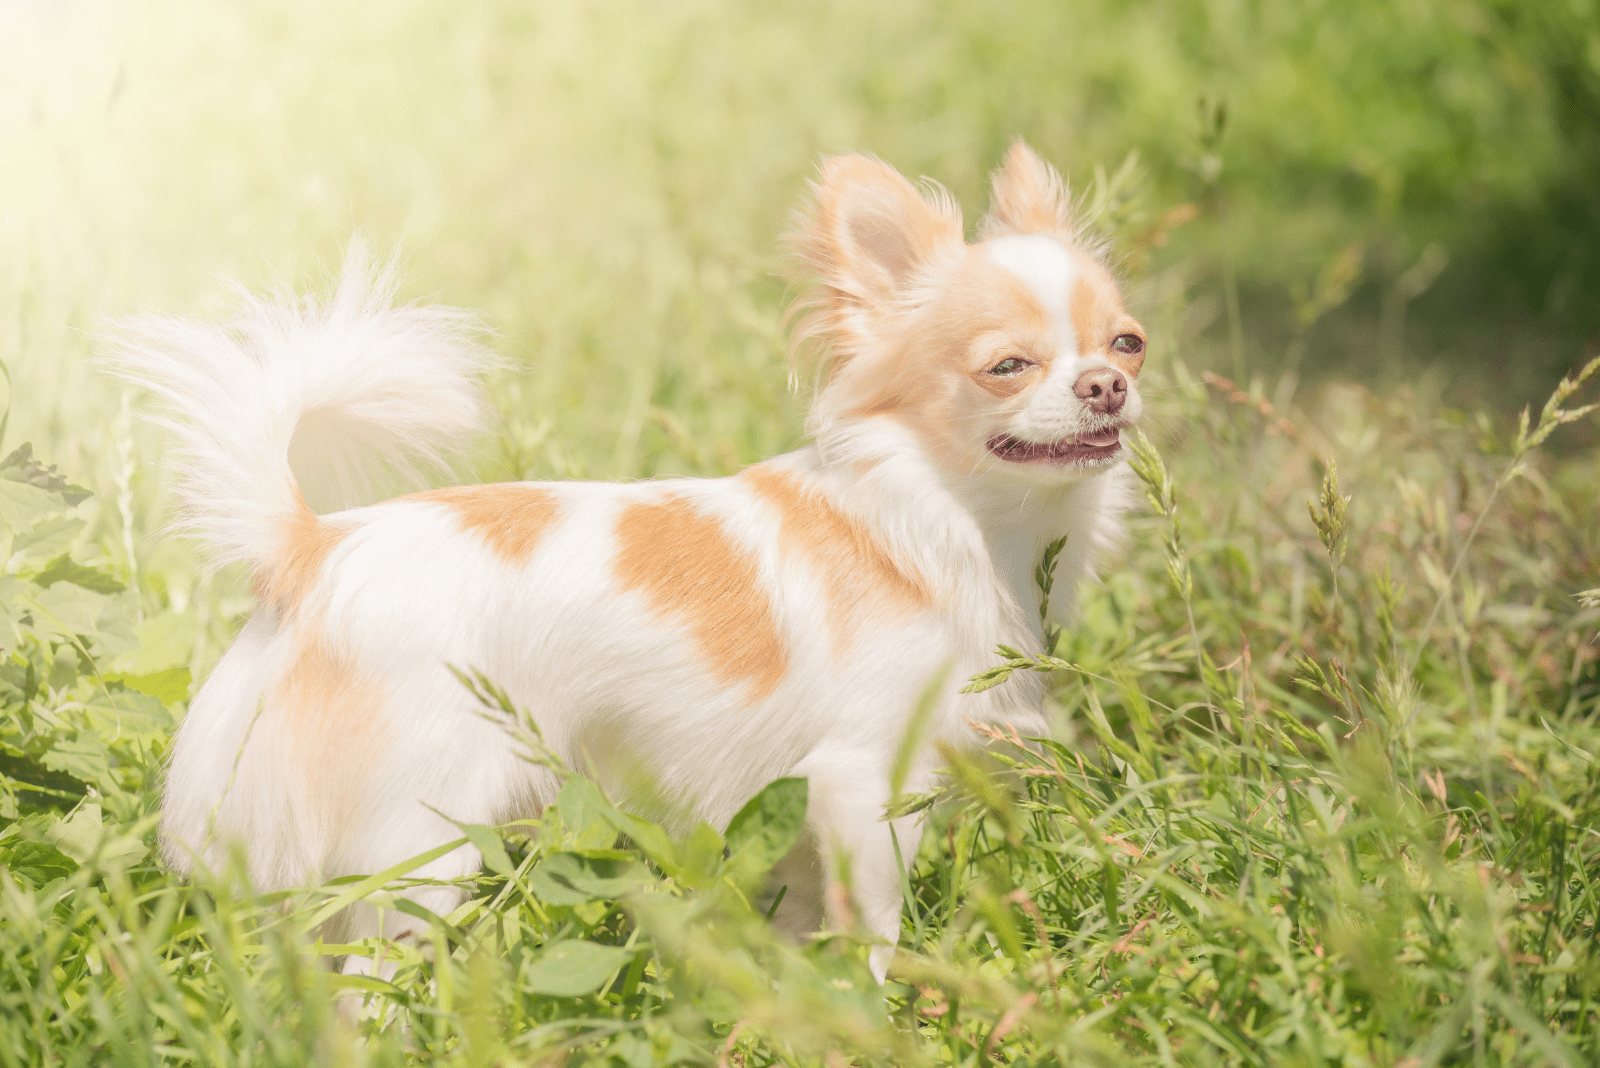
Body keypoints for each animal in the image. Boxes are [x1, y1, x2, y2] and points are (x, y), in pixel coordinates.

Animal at [116, 141, 1139, 984]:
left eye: (1127, 342)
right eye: (1006, 367)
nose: (1108, 385)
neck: (947, 524)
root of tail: (314, 546)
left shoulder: (804, 810)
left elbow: (802, 923)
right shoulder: (866, 784)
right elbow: (871, 930)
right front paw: (875, 1014)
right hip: (422, 837)